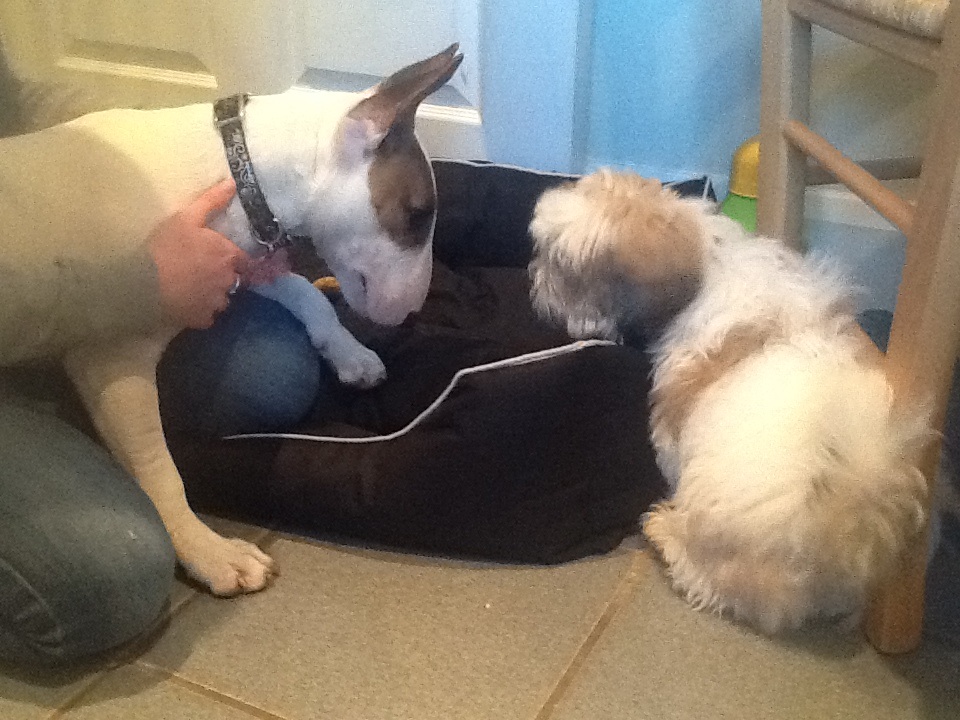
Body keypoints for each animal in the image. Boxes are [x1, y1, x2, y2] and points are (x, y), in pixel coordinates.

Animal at [5, 45, 462, 596]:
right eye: (418, 214)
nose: (415, 311)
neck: (242, 170)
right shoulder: (111, 364)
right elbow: (158, 470)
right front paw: (210, 554)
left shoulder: (237, 258)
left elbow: (306, 292)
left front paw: (350, 355)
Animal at [528, 169, 933, 634]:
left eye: (563, 267)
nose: (535, 280)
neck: (709, 260)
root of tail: (841, 520)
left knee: (711, 580)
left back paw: (666, 533)